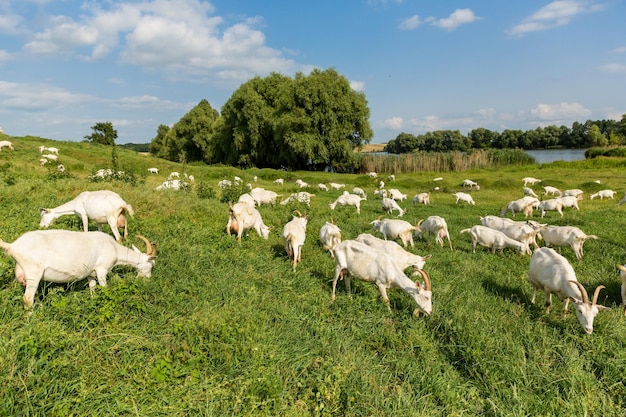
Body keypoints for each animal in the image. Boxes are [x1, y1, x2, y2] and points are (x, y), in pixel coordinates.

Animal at [0, 231, 156, 308]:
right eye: (151, 265)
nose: (148, 280)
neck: (115, 249)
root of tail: (12, 246)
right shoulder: (102, 269)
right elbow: (104, 288)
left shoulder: (91, 272)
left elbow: (92, 287)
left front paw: (93, 301)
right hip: (34, 272)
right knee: (27, 299)